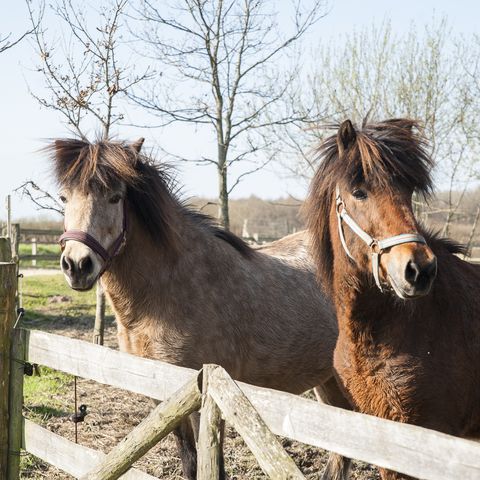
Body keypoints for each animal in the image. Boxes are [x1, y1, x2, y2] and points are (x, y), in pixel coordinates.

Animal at [50, 138, 350, 480]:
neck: (166, 291)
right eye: (64, 197)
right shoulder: (165, 396)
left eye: (115, 197)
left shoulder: (207, 397)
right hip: (329, 380)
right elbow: (188, 459)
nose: (77, 265)